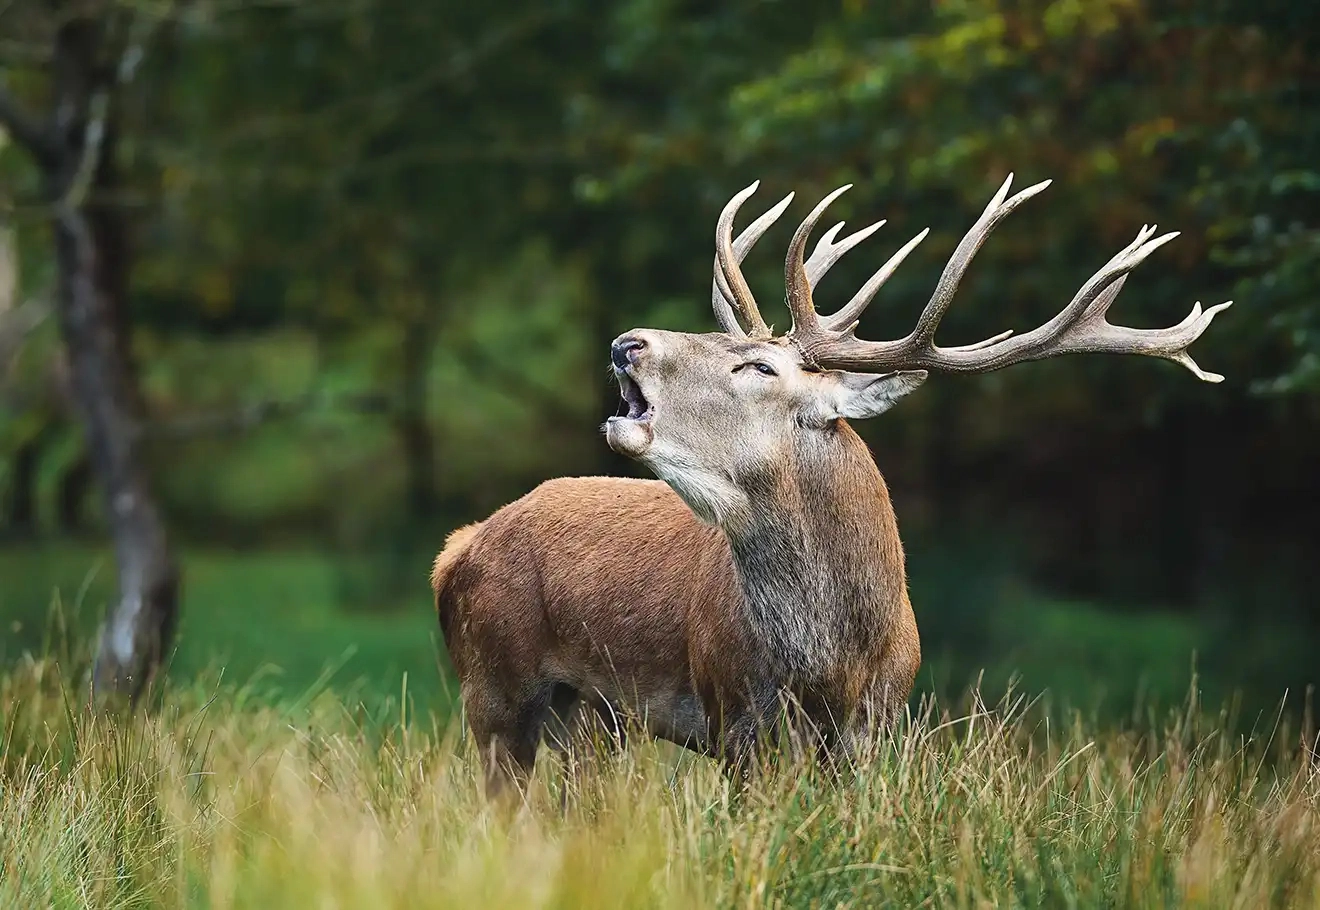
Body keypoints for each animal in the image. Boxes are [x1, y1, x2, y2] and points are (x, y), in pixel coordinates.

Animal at [431, 174, 1231, 798]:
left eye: (757, 365)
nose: (628, 342)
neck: (831, 660)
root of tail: (459, 546)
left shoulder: (876, 725)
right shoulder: (735, 714)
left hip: (590, 718)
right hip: (494, 684)